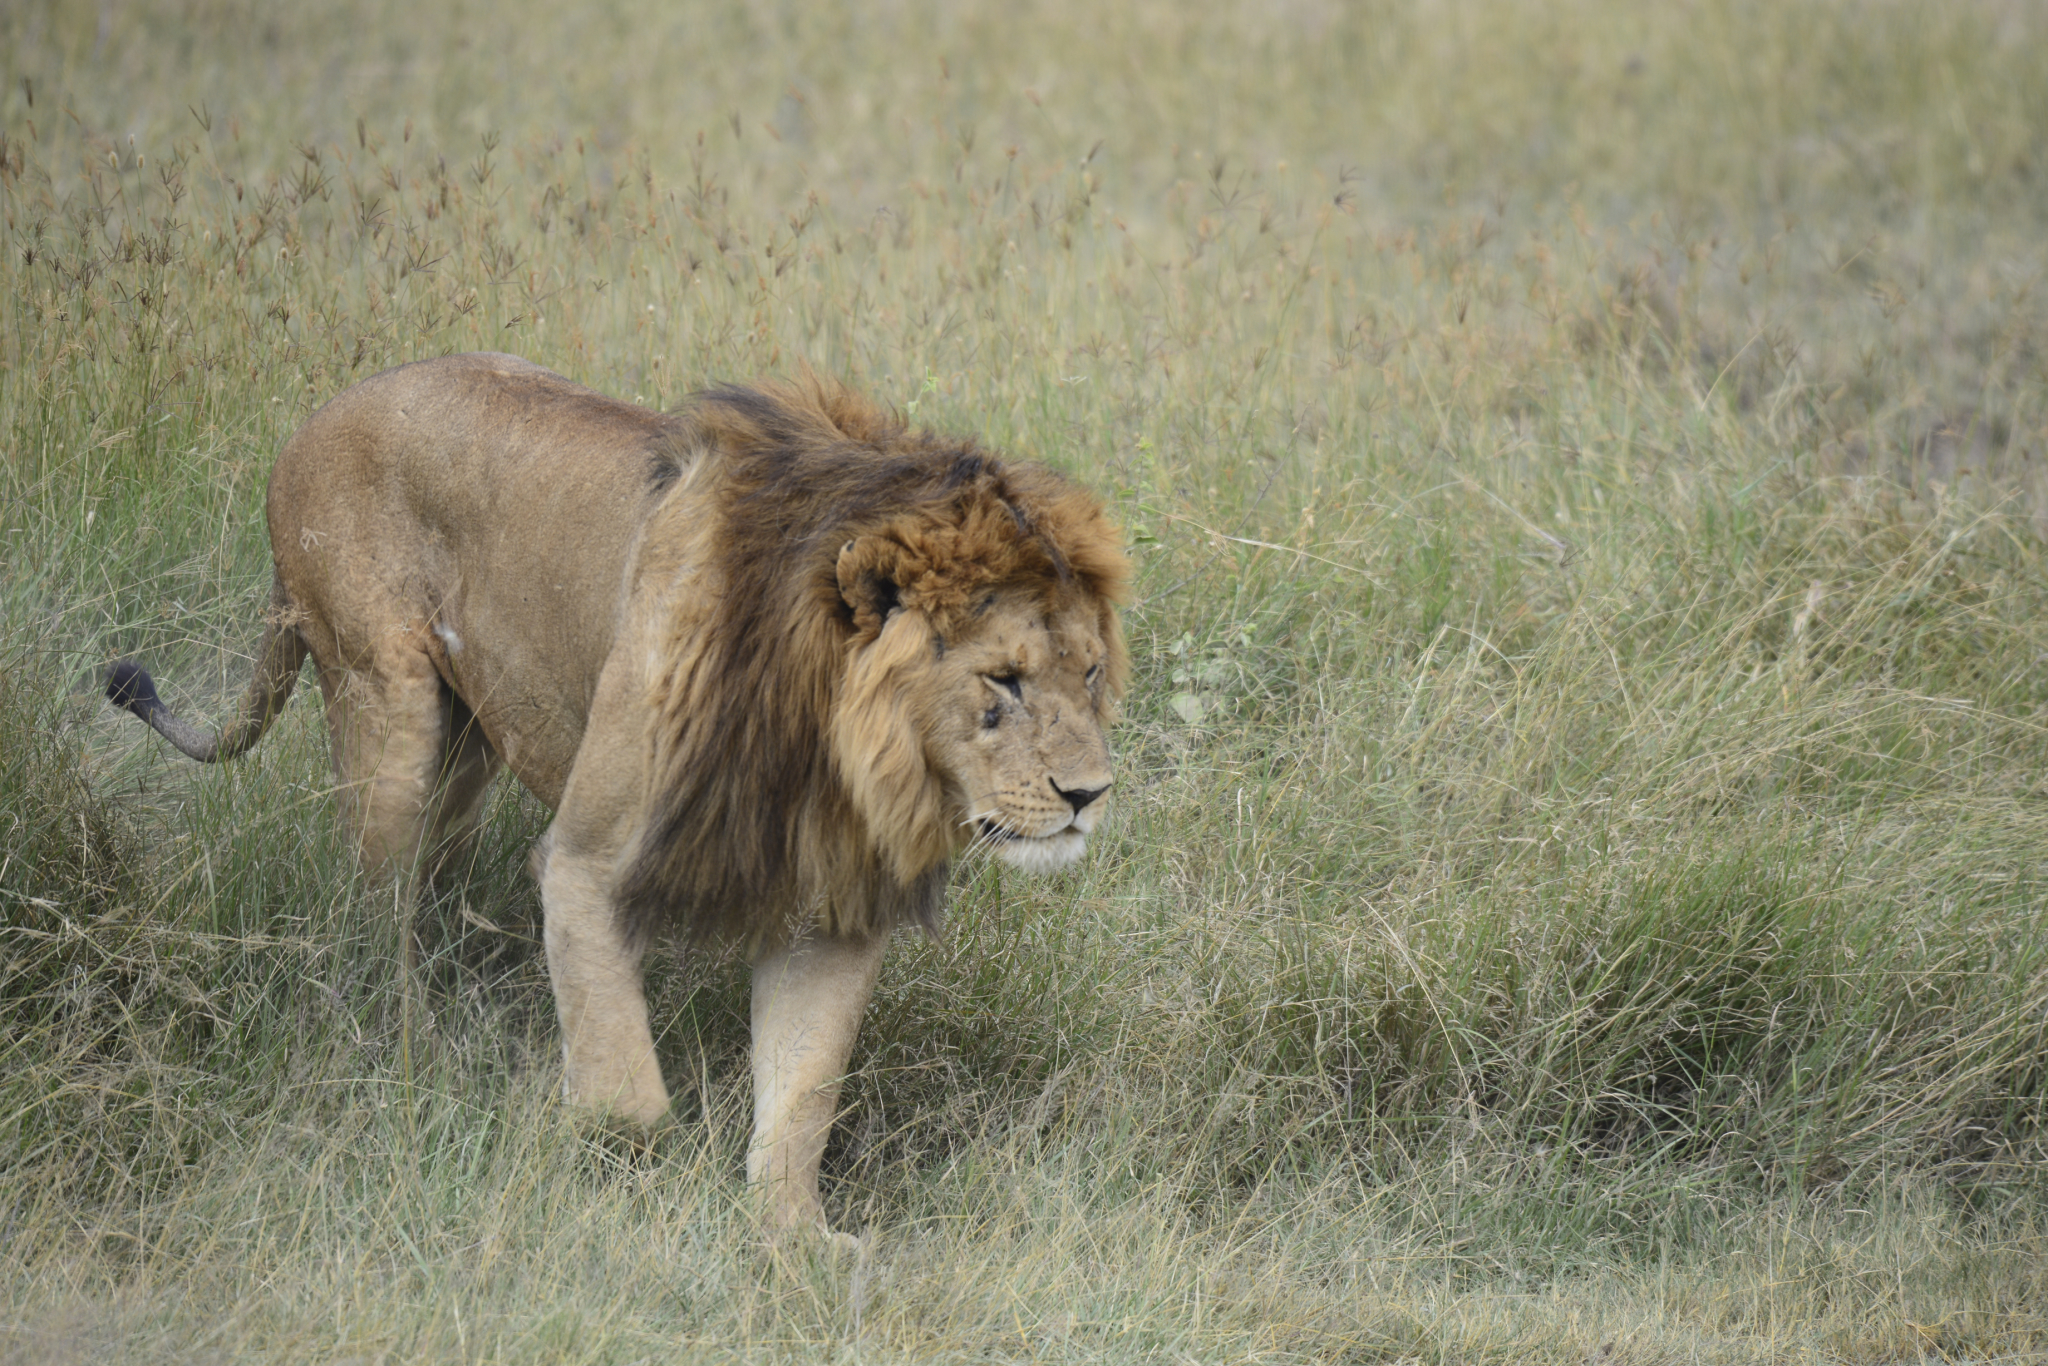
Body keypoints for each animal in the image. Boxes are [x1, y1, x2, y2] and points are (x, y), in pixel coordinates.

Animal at [103, 350, 1130, 1236]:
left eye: (1087, 673)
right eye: (1003, 681)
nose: (1090, 793)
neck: (823, 747)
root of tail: (317, 414)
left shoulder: (828, 909)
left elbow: (801, 1096)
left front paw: (795, 1244)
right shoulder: (586, 864)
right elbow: (626, 1086)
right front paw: (624, 1176)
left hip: (467, 752)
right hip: (381, 703)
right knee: (375, 911)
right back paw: (412, 1056)